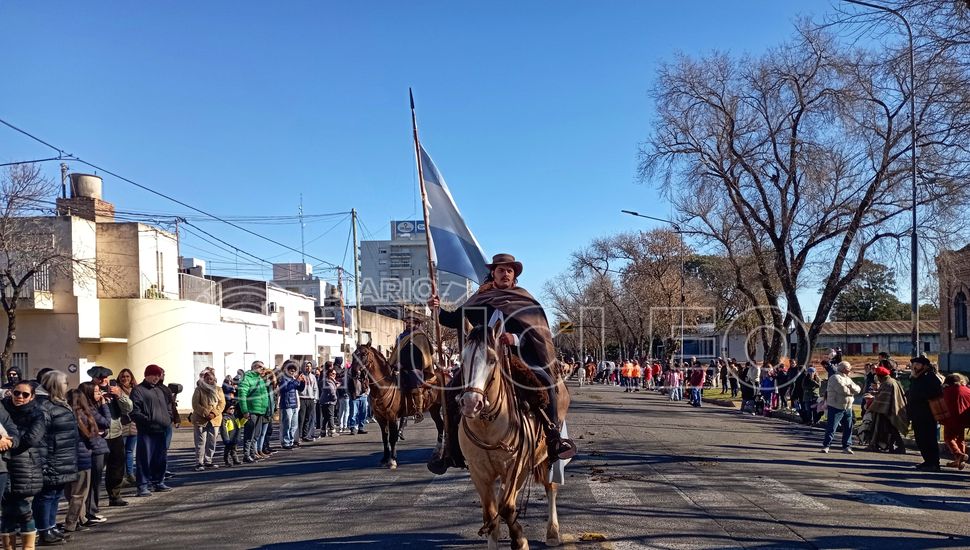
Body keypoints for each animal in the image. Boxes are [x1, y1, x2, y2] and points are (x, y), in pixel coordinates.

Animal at [460, 326, 568, 550]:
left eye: (492, 360)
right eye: (462, 358)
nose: (471, 404)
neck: (487, 426)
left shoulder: (518, 466)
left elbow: (507, 507)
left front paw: (520, 540)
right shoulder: (478, 472)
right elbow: (491, 514)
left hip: (547, 457)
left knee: (550, 488)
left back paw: (552, 532)